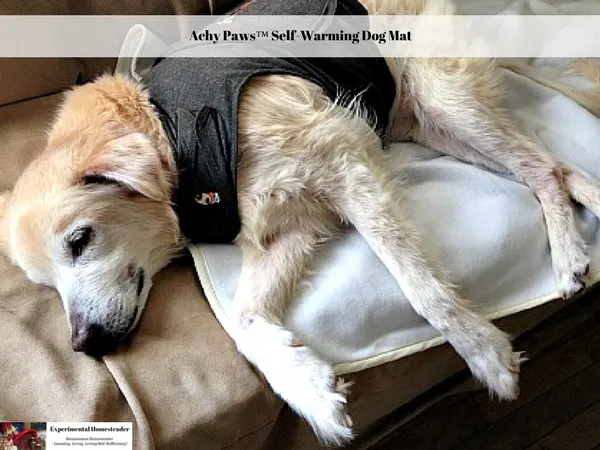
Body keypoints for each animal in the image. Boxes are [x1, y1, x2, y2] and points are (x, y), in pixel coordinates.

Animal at [1, 0, 600, 444]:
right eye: (45, 285)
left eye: (81, 240)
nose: (84, 346)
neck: (172, 130)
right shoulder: (287, 226)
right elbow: (243, 323)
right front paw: (309, 389)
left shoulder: (347, 166)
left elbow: (421, 288)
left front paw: (485, 355)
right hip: (431, 124)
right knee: (554, 165)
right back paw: (577, 238)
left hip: (443, 100)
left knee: (543, 167)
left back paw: (567, 254)